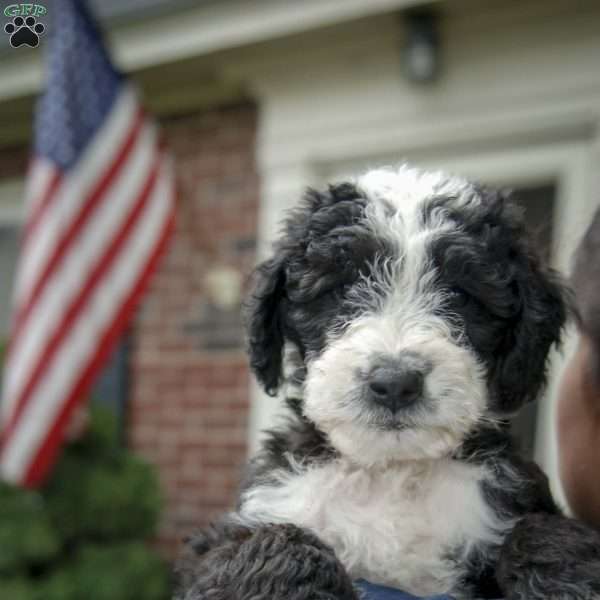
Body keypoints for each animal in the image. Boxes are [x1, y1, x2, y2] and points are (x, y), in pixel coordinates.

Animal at [177, 165, 600, 600]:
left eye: (461, 294)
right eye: (342, 288)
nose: (395, 383)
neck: (391, 470)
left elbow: (541, 529)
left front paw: (567, 581)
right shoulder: (250, 518)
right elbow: (272, 541)